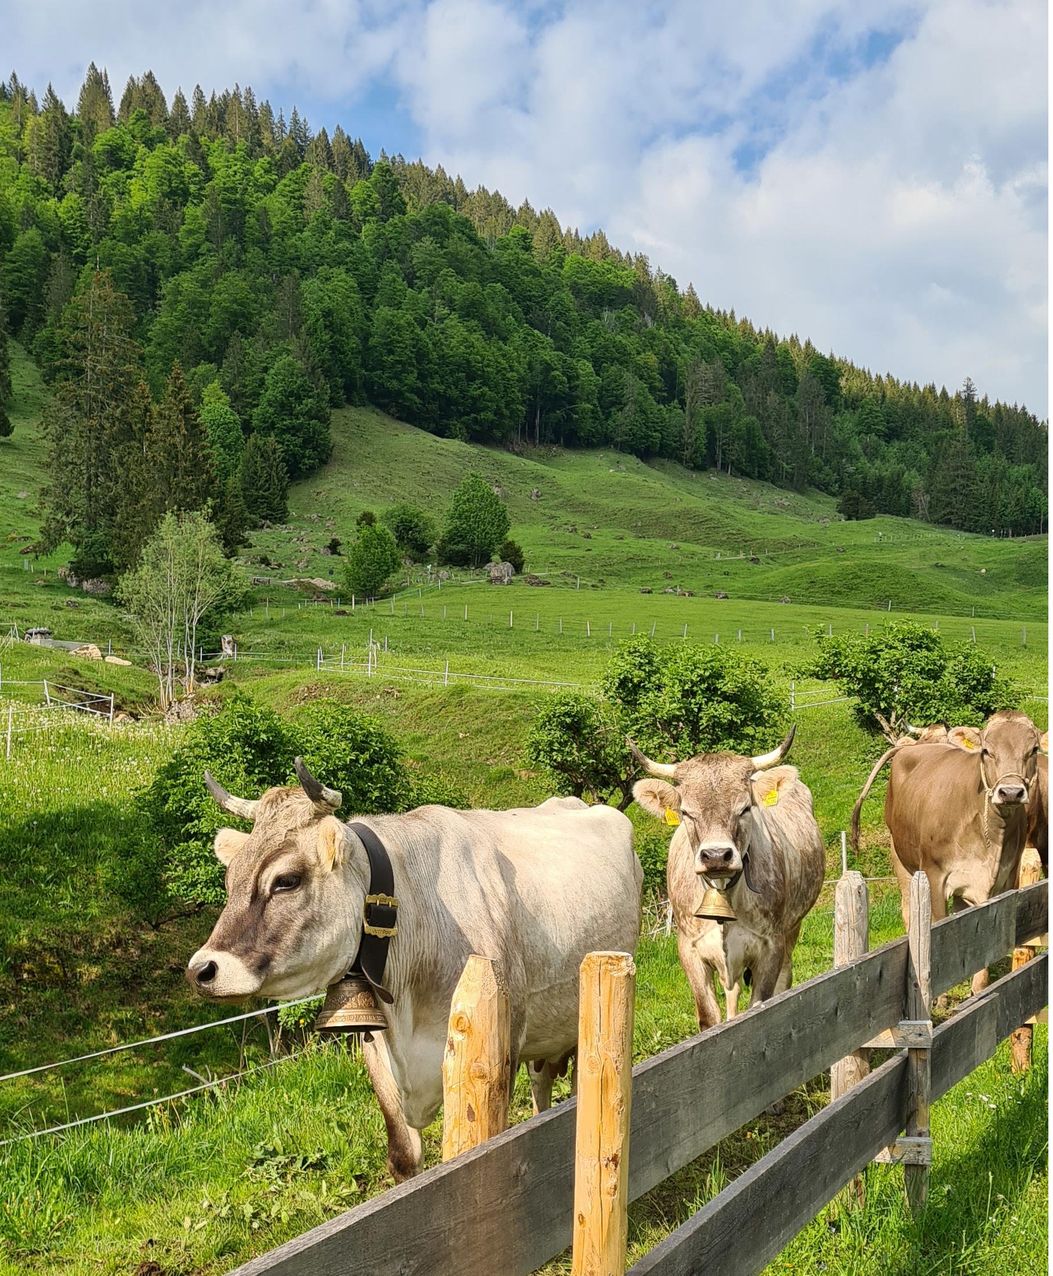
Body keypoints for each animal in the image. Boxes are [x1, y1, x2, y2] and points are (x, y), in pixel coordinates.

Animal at [186, 759, 642, 1181]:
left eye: (286, 880)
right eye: (230, 879)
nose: (202, 970)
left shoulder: (499, 1051)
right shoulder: (377, 1051)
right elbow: (404, 1158)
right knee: (543, 1085)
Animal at [630, 727, 824, 1030]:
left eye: (745, 809)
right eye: (686, 812)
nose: (716, 855)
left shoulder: (770, 946)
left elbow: (760, 1005)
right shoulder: (690, 949)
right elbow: (709, 1018)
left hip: (792, 928)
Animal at [881, 710, 1044, 994]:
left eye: (1033, 749)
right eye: (986, 751)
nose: (1011, 792)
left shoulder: (1002, 883)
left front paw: (978, 990)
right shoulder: (934, 876)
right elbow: (938, 932)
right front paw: (939, 997)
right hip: (900, 856)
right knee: (908, 910)